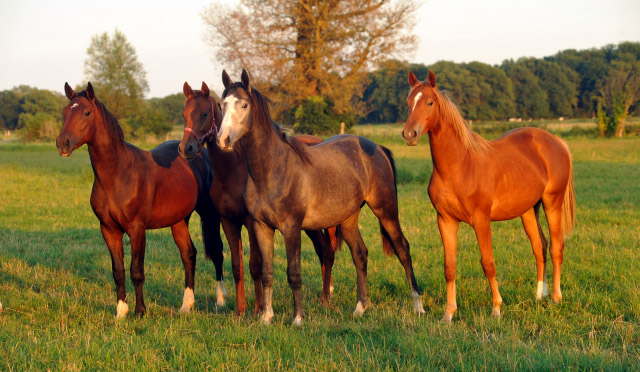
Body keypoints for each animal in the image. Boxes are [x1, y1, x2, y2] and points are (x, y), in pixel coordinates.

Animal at [55, 83, 225, 318]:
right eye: (64, 112)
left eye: (86, 112)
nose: (62, 143)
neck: (118, 175)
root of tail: (199, 154)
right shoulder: (108, 229)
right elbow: (118, 271)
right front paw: (121, 312)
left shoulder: (137, 229)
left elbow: (136, 270)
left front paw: (140, 311)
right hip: (178, 221)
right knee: (189, 254)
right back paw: (186, 306)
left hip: (209, 214)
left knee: (217, 251)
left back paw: (220, 300)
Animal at [178, 80, 340, 314]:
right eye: (184, 114)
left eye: (205, 114)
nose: (186, 148)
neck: (232, 171)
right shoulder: (228, 221)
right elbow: (237, 266)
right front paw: (240, 309)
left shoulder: (250, 221)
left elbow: (255, 264)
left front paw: (258, 308)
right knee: (323, 250)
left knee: (327, 251)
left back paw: (327, 296)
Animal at [215, 70, 424, 326]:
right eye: (222, 105)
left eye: (244, 105)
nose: (223, 140)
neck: (273, 169)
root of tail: (377, 148)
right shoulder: (262, 227)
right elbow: (267, 272)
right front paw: (266, 317)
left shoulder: (291, 228)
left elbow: (294, 273)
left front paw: (298, 318)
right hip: (348, 219)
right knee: (360, 255)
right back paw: (360, 308)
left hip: (386, 211)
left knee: (402, 249)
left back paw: (418, 305)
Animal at [402, 70, 576, 322]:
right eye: (408, 103)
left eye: (430, 102)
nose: (409, 134)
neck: (459, 165)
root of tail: (556, 141)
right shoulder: (445, 221)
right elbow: (449, 267)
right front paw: (448, 314)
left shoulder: (481, 221)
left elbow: (488, 263)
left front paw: (496, 308)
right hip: (528, 211)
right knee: (539, 246)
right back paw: (539, 295)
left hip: (552, 202)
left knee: (556, 246)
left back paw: (555, 297)